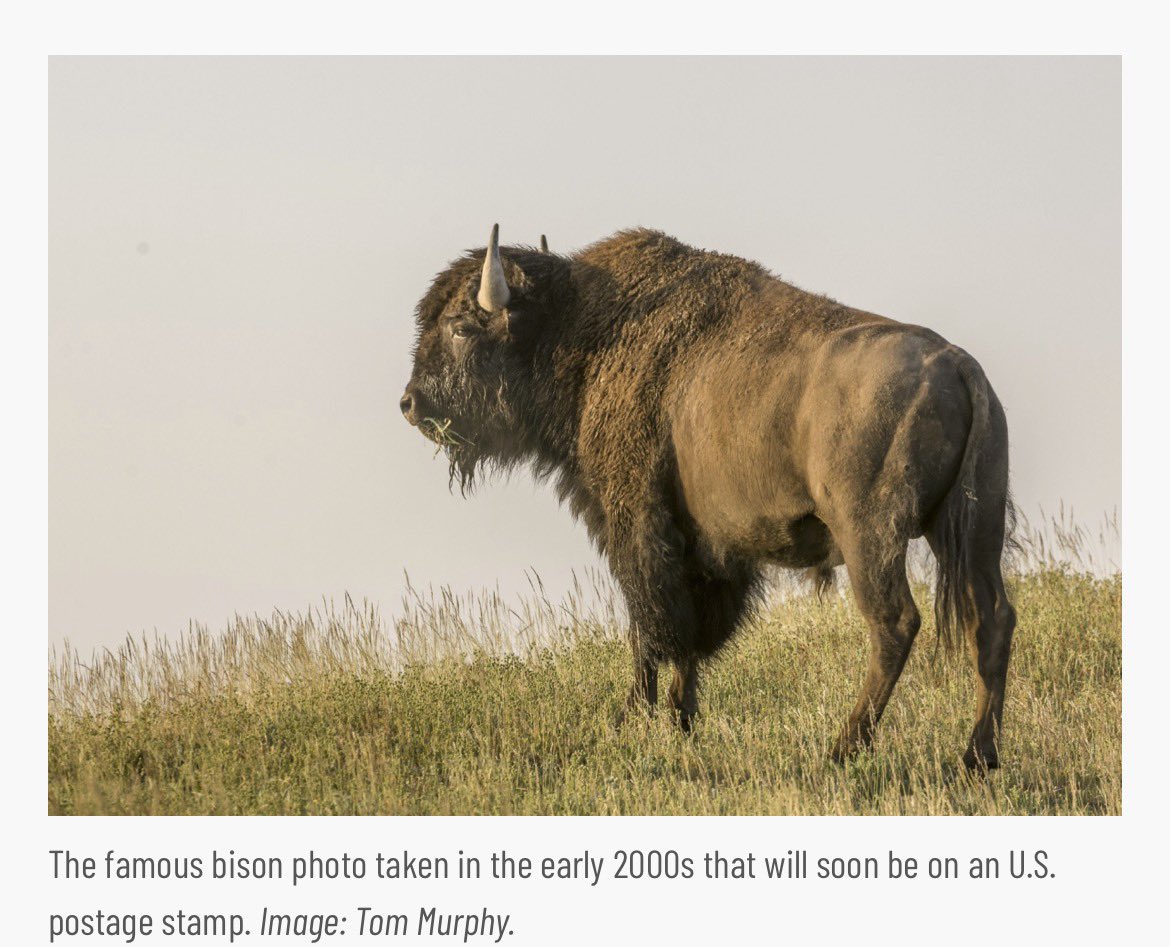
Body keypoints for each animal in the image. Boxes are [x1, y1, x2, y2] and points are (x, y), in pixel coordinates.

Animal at [401, 225, 1016, 769]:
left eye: (461, 327)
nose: (411, 403)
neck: (581, 330)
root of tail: (959, 364)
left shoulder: (637, 524)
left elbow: (652, 627)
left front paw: (632, 718)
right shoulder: (706, 548)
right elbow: (691, 635)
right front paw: (681, 717)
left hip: (871, 534)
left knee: (894, 623)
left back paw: (843, 749)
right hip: (974, 531)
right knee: (994, 621)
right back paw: (977, 757)